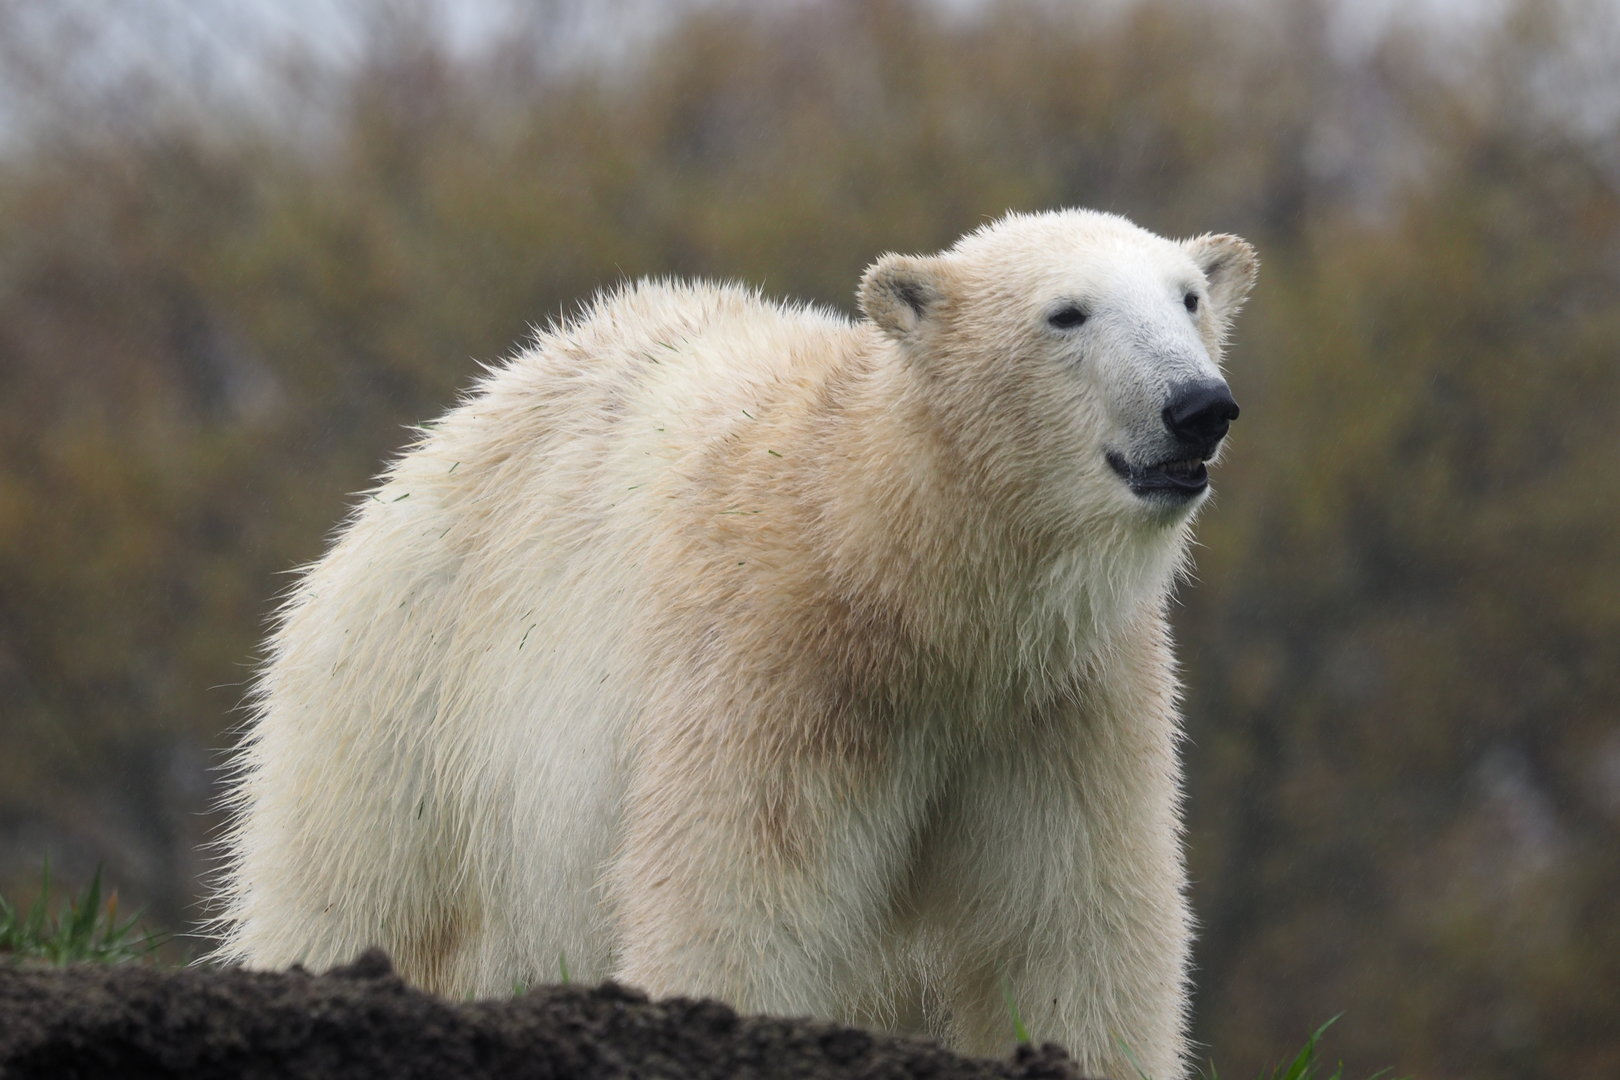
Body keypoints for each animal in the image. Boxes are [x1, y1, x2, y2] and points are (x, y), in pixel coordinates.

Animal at [212, 208, 1256, 1080]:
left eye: (1189, 298)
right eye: (1066, 314)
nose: (1198, 406)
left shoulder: (1060, 704)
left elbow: (1071, 930)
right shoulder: (775, 663)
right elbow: (741, 905)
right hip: (405, 717)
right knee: (353, 899)